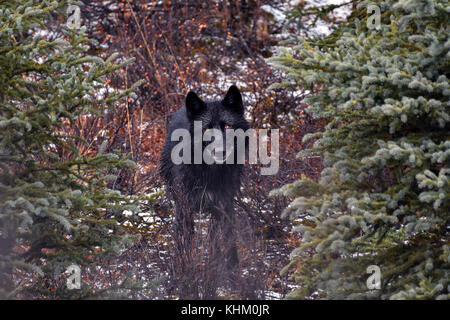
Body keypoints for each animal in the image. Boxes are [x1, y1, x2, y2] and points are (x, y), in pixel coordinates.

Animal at [160, 85, 248, 296]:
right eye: (207, 128)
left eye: (227, 127)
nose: (221, 151)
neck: (209, 172)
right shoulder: (183, 209)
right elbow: (183, 247)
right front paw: (179, 279)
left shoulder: (219, 208)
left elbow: (215, 247)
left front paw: (211, 282)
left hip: (228, 207)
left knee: (229, 239)